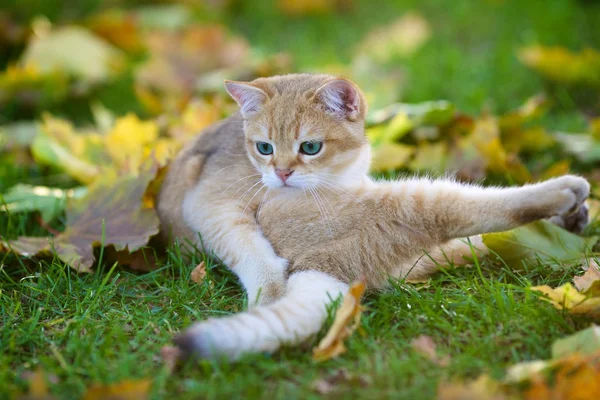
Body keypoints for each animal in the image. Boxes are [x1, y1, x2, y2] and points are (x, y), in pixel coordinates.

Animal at [156, 73, 592, 360]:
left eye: (310, 147)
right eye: (264, 147)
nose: (280, 174)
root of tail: (324, 264)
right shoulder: (211, 204)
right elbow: (249, 252)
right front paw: (269, 287)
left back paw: (568, 223)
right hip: (409, 204)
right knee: (465, 212)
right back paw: (565, 194)